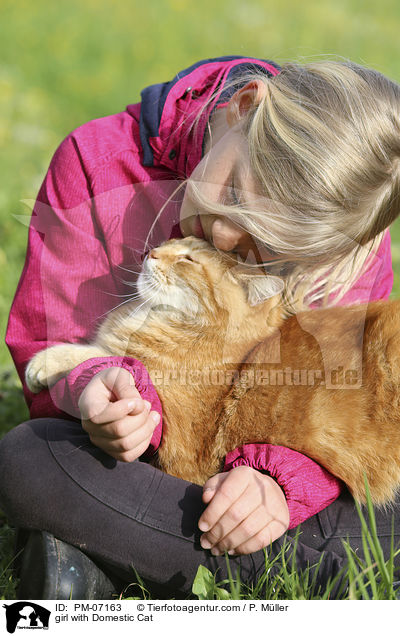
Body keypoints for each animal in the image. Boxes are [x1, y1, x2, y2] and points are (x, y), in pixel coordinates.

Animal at [25, 236, 400, 504]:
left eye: (188, 260)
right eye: (174, 239)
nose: (151, 252)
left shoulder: (183, 444)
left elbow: (99, 354)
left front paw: (45, 362)